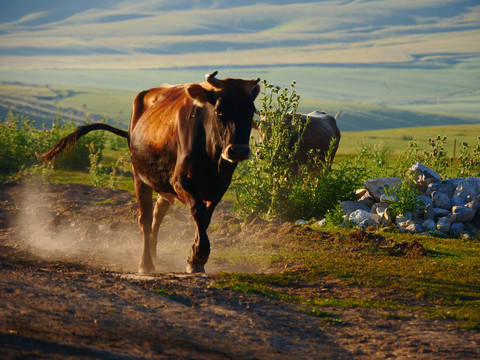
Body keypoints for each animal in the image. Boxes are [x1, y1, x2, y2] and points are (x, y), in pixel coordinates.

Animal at [39, 71, 260, 272]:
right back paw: (146, 263)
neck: (211, 156)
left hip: (162, 183)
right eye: (220, 111)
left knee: (158, 213)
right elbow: (197, 210)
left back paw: (154, 254)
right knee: (145, 219)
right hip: (140, 177)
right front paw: (198, 257)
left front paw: (195, 257)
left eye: (251, 112)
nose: (238, 150)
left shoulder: (219, 186)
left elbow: (205, 219)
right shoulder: (180, 181)